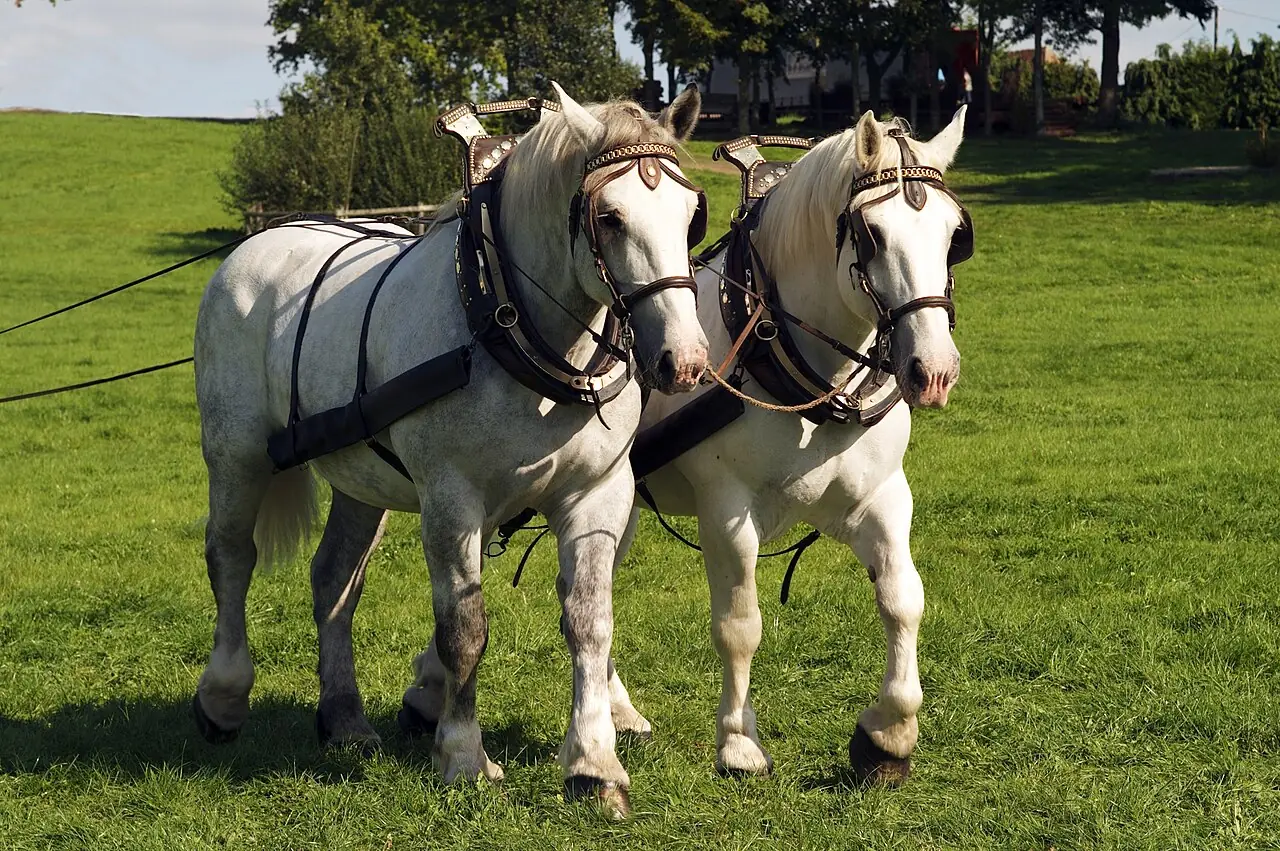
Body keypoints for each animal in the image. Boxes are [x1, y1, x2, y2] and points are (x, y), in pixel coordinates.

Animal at [190, 83, 708, 815]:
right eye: (609, 216)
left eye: (691, 217)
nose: (683, 362)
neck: (506, 321)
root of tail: (255, 242)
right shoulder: (451, 500)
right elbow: (464, 628)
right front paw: (463, 754)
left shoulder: (597, 493)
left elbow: (589, 621)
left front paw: (593, 763)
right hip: (236, 454)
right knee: (232, 557)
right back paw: (223, 697)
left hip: (361, 480)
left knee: (334, 579)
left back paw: (343, 718)